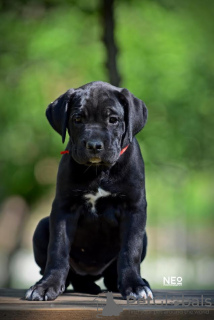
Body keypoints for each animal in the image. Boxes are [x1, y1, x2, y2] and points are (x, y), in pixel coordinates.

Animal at [25, 81, 152, 302]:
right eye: (77, 119)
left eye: (113, 120)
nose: (93, 145)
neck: (99, 171)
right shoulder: (64, 208)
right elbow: (57, 249)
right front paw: (47, 286)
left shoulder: (134, 209)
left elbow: (130, 250)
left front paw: (135, 286)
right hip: (41, 227)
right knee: (72, 275)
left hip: (143, 237)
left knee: (112, 273)